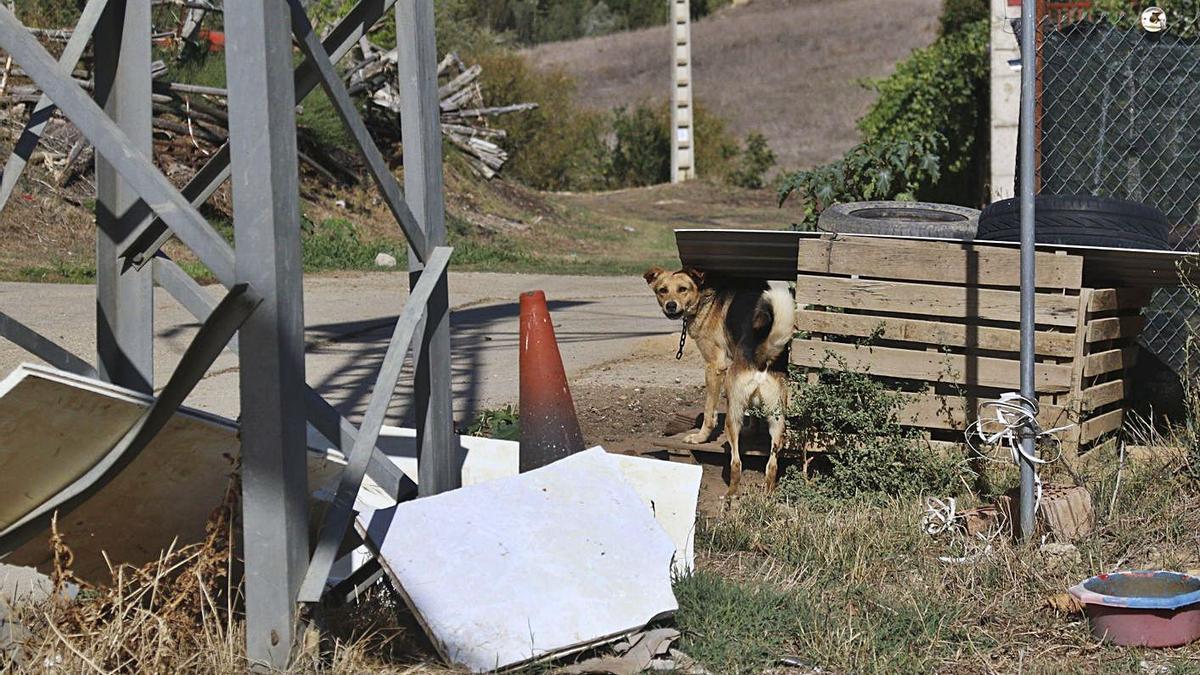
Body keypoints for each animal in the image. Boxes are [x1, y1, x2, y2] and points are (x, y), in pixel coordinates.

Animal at [643, 266, 792, 494]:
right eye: (662, 290)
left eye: (683, 289)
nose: (670, 305)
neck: (707, 295)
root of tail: (761, 356)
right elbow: (753, 415)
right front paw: (751, 430)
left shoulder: (714, 367)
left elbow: (708, 412)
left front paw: (700, 437)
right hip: (776, 419)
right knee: (771, 465)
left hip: (732, 407)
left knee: (736, 462)